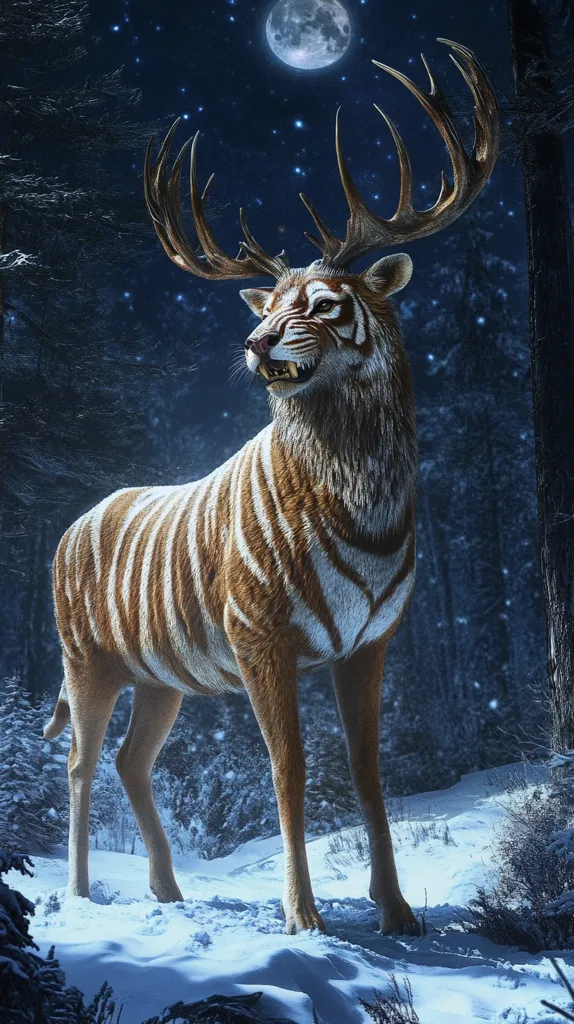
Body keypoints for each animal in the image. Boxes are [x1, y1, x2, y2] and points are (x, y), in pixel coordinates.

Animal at [44, 39, 498, 936]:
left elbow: (366, 771)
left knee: (131, 758)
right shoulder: (258, 630)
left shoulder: (374, 638)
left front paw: (398, 912)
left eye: (325, 301)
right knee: (80, 757)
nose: (255, 342)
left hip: (162, 674)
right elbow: (288, 771)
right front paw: (303, 918)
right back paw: (80, 893)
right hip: (88, 655)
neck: (367, 519)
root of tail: (70, 529)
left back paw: (168, 891)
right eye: (271, 303)